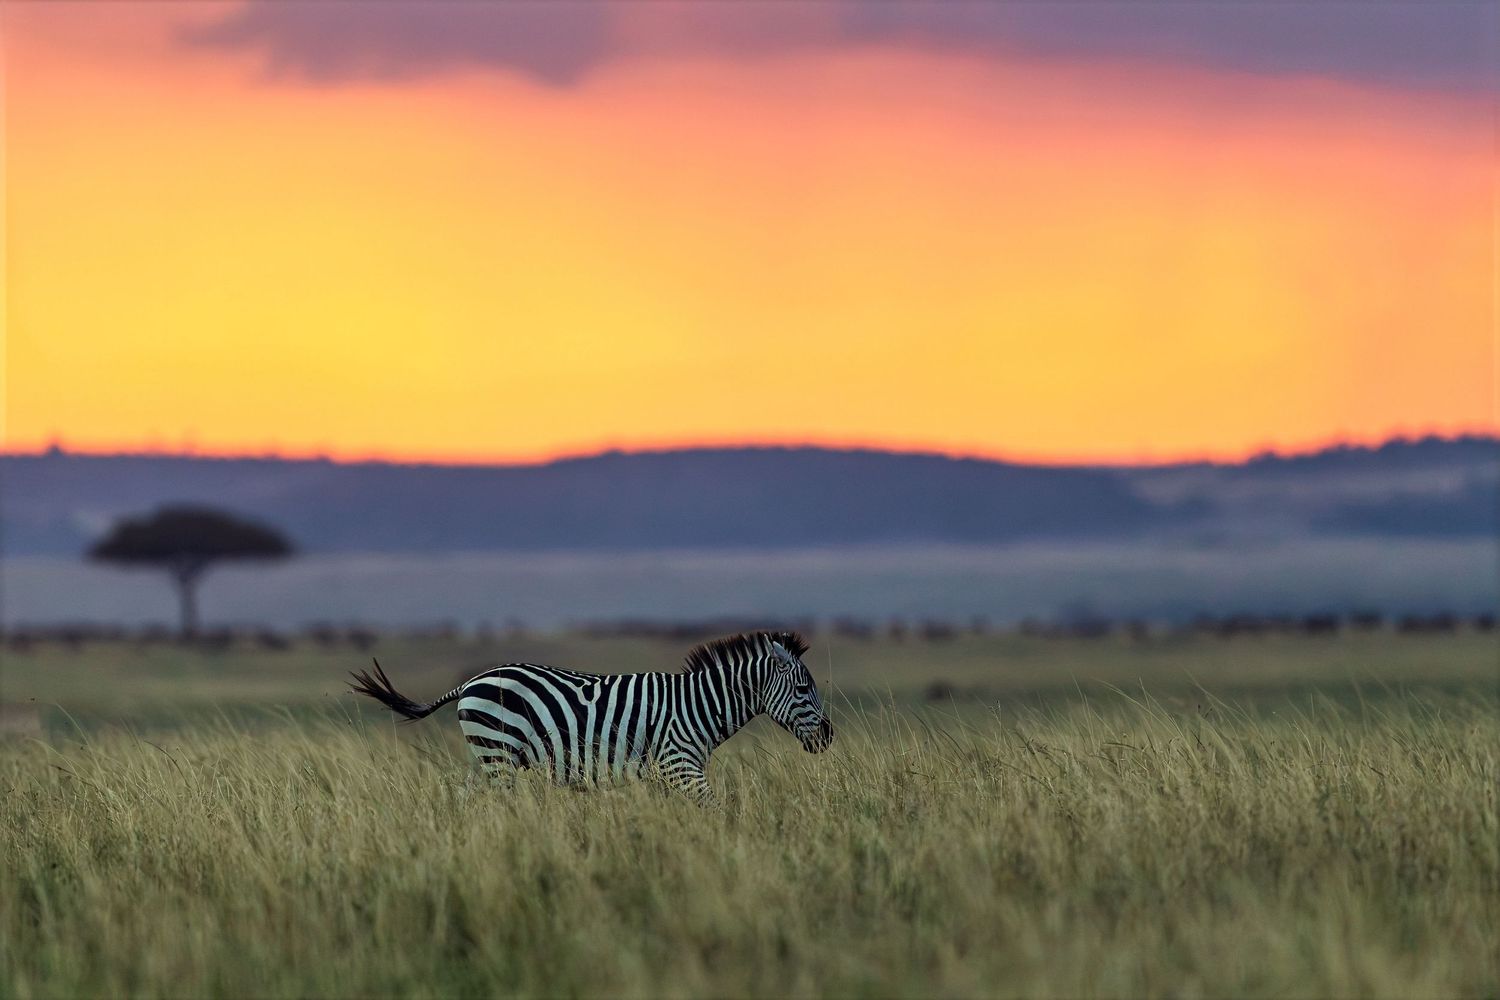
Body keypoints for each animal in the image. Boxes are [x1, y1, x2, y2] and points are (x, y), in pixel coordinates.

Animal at [349, 631, 833, 803]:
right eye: (803, 689)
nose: (829, 737)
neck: (698, 706)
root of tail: (469, 682)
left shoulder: (665, 773)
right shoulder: (679, 764)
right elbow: (717, 808)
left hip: (483, 757)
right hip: (499, 754)